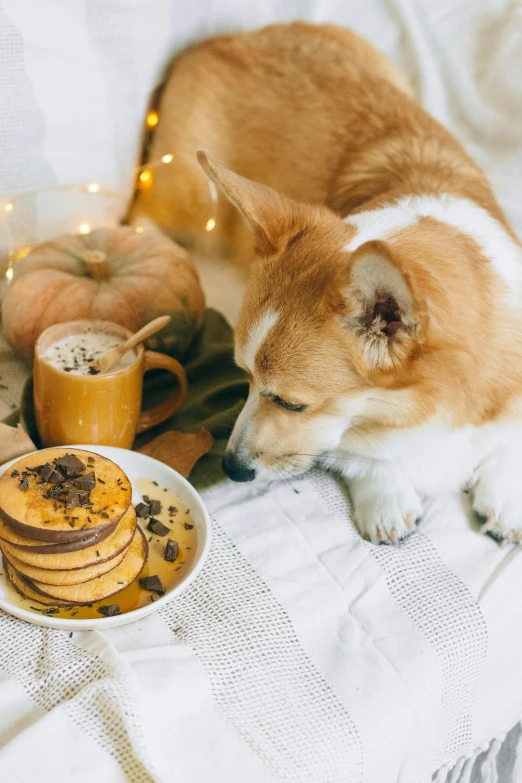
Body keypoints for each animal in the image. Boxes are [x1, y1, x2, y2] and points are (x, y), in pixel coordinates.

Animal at [128, 19, 520, 544]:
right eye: (242, 377)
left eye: (292, 405)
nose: (231, 469)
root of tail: (229, 38)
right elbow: (361, 453)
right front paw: (386, 497)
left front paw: (506, 494)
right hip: (189, 194)